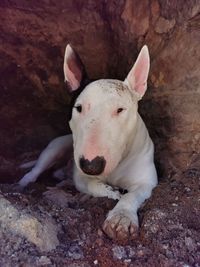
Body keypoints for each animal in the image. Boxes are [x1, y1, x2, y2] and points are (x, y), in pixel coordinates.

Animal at [17, 44, 158, 243]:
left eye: (120, 110)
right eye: (79, 108)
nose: (91, 165)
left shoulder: (147, 181)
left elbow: (131, 196)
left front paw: (121, 218)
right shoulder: (81, 176)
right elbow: (93, 185)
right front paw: (110, 191)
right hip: (55, 147)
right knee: (35, 170)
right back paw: (23, 184)